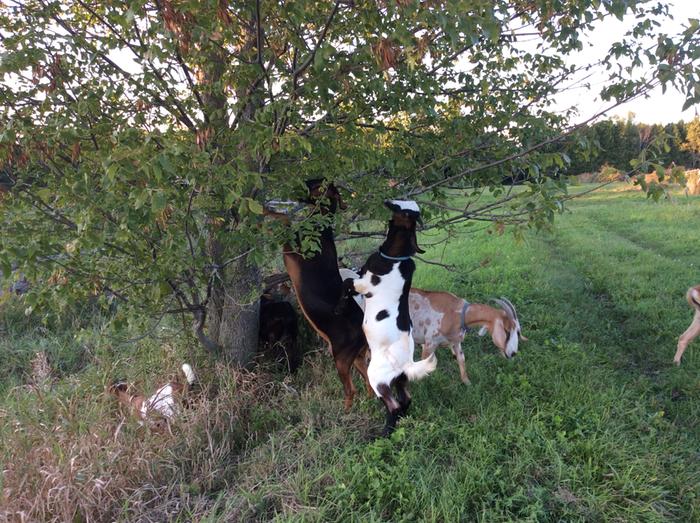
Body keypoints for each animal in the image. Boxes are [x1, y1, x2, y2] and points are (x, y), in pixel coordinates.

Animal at [274, 180, 370, 410]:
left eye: (313, 183)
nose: (295, 189)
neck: (320, 223)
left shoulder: (292, 245)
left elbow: (283, 218)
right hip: (357, 357)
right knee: (369, 382)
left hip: (341, 359)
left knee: (351, 390)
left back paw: (345, 413)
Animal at [340, 199, 438, 436]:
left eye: (404, 210)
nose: (388, 201)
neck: (396, 257)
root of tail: (407, 364)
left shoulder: (363, 284)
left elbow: (346, 284)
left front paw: (339, 303)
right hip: (400, 381)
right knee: (405, 400)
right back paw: (397, 424)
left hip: (377, 378)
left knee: (393, 405)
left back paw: (384, 432)